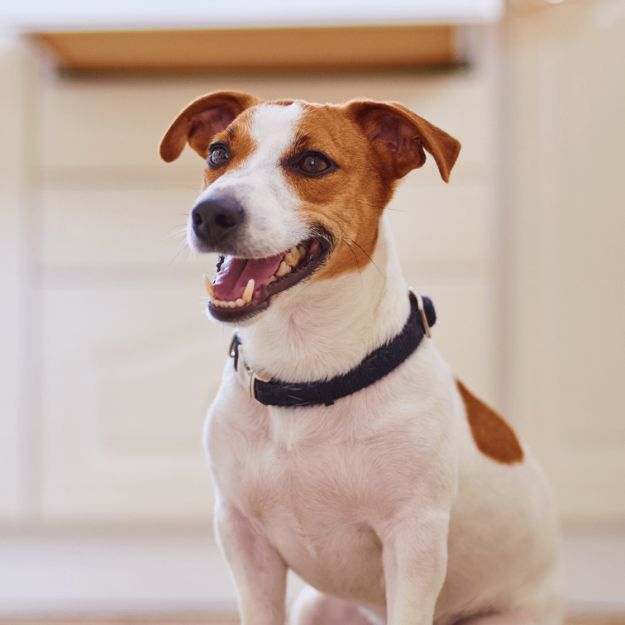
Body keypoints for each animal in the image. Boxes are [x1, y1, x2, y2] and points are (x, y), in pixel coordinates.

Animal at [158, 90, 564, 624]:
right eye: (218, 154)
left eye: (313, 162)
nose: (210, 213)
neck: (305, 374)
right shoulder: (241, 535)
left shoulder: (414, 541)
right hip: (317, 604)